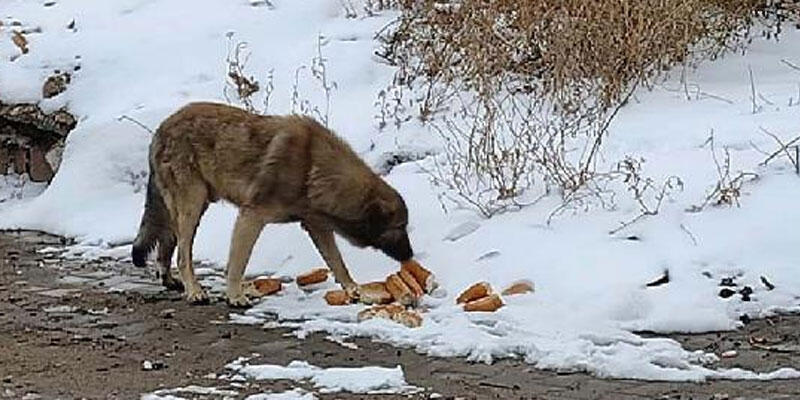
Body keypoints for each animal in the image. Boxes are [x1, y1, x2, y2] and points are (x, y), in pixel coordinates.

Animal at [130, 102, 412, 306]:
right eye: (400, 227)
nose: (410, 256)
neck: (314, 168)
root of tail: (161, 129)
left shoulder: (317, 227)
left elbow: (339, 264)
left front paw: (355, 290)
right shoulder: (251, 217)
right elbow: (237, 264)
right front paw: (235, 296)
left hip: (187, 208)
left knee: (167, 246)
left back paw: (170, 281)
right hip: (192, 206)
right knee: (182, 255)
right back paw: (194, 291)